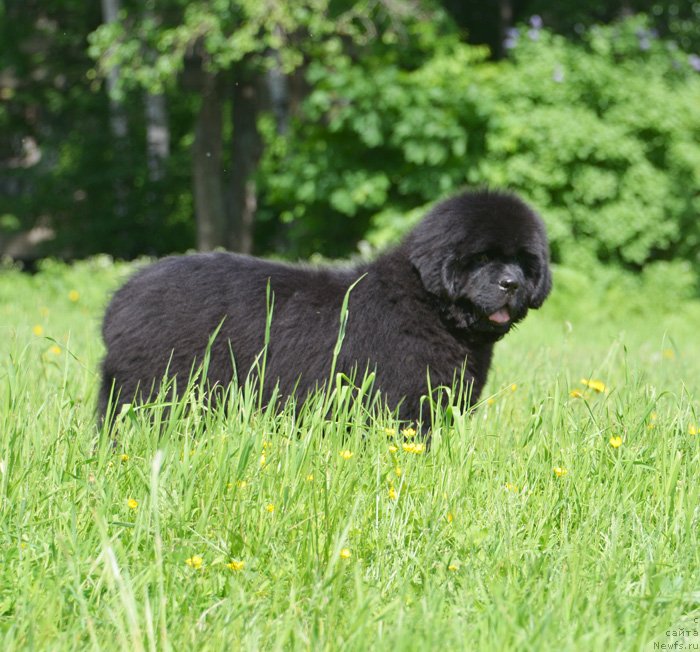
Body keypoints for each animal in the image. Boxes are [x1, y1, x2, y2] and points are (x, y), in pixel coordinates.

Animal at [97, 190, 552, 428]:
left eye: (523, 261)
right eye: (482, 257)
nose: (511, 284)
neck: (426, 304)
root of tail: (121, 299)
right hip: (156, 391)